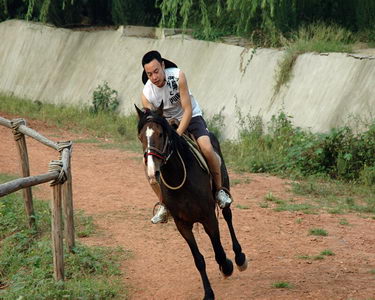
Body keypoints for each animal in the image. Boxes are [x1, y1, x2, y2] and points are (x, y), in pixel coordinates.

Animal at [137, 103, 248, 300]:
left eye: (160, 134)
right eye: (142, 136)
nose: (152, 170)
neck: (179, 177)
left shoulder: (208, 217)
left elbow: (218, 252)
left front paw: (227, 266)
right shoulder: (182, 225)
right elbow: (199, 260)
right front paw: (208, 293)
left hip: (223, 187)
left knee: (228, 216)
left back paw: (239, 258)